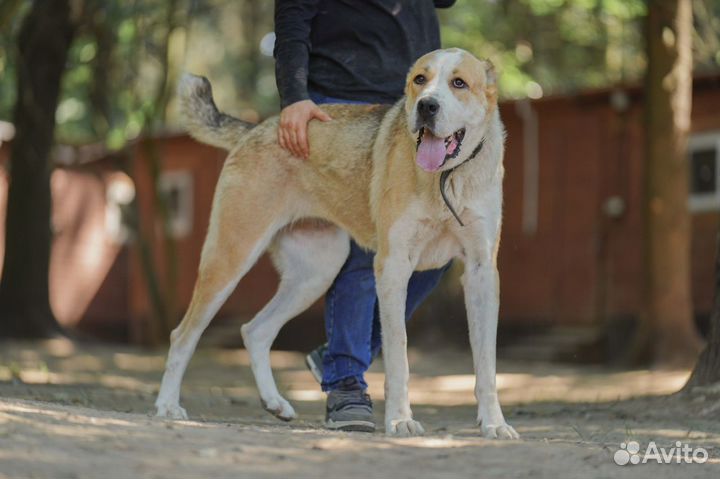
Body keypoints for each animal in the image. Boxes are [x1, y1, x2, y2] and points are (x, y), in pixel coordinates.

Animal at [156, 47, 516, 440]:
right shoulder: (393, 266)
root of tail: (258, 128)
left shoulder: (481, 272)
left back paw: (275, 402)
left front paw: (494, 423)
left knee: (255, 330)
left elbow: (486, 366)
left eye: (459, 83)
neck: (448, 177)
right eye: (420, 80)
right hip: (231, 256)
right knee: (182, 335)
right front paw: (400, 420)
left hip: (316, 273)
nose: (426, 107)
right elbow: (399, 357)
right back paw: (167, 405)